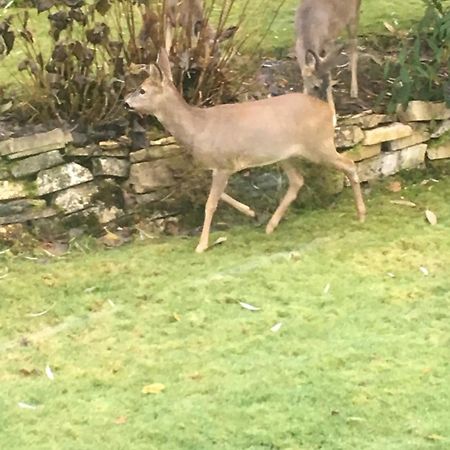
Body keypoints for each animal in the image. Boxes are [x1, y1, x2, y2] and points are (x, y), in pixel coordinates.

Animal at [124, 50, 366, 253]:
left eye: (142, 90)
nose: (126, 102)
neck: (198, 128)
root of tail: (329, 110)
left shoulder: (223, 164)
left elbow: (210, 203)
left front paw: (202, 245)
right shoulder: (220, 166)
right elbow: (217, 195)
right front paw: (250, 211)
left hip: (318, 145)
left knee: (349, 165)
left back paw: (361, 213)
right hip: (286, 154)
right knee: (297, 180)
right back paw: (270, 225)